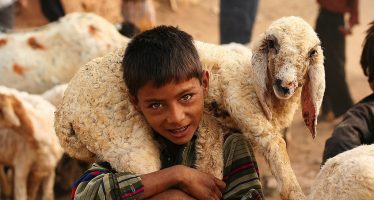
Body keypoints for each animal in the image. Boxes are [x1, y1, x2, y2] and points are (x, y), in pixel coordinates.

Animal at [54, 16, 324, 200]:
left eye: (311, 53)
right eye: (273, 45)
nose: (285, 84)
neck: (250, 77)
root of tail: (63, 115)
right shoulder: (240, 98)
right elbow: (274, 142)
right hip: (123, 138)